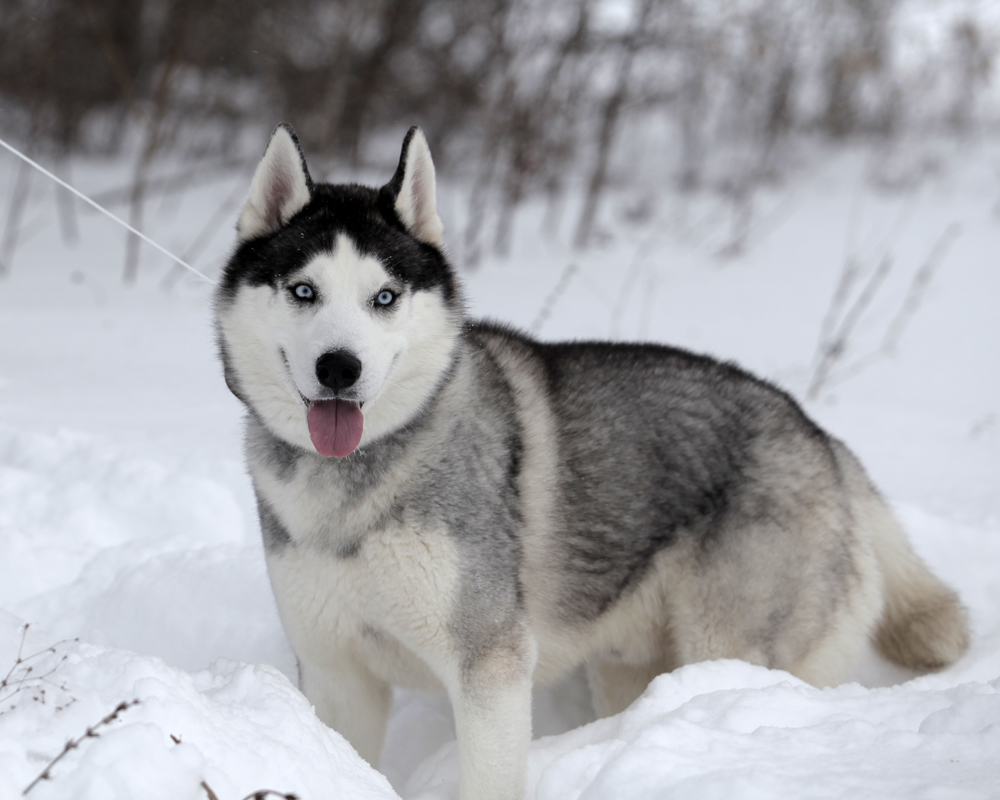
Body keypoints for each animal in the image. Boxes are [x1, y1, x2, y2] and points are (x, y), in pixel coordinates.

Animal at [217, 125, 968, 800]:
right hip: (628, 664)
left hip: (732, 645)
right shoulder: (336, 674)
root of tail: (820, 436)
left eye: (384, 297)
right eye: (304, 291)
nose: (338, 368)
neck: (353, 482)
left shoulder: (490, 666)